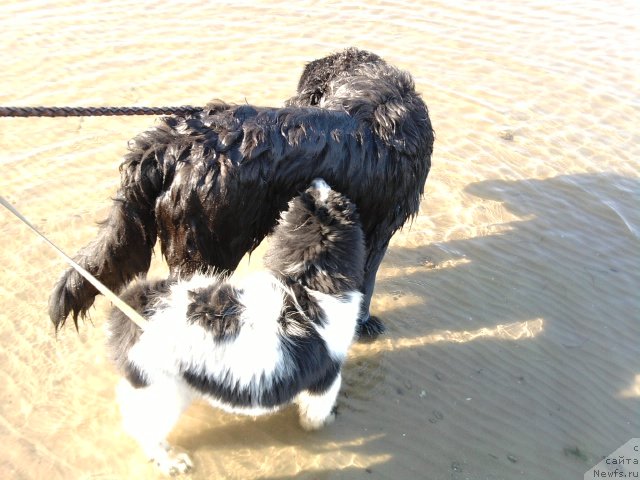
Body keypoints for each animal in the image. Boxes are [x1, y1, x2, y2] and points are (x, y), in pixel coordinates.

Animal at [50, 47, 436, 336]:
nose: (290, 101)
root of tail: (171, 142)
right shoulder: (379, 228)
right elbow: (366, 282)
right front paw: (364, 324)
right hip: (205, 247)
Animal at [107, 179, 362, 472]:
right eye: (336, 199)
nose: (317, 181)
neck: (305, 284)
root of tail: (135, 306)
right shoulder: (326, 379)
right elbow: (316, 412)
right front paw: (322, 423)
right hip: (161, 389)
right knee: (146, 431)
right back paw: (171, 460)